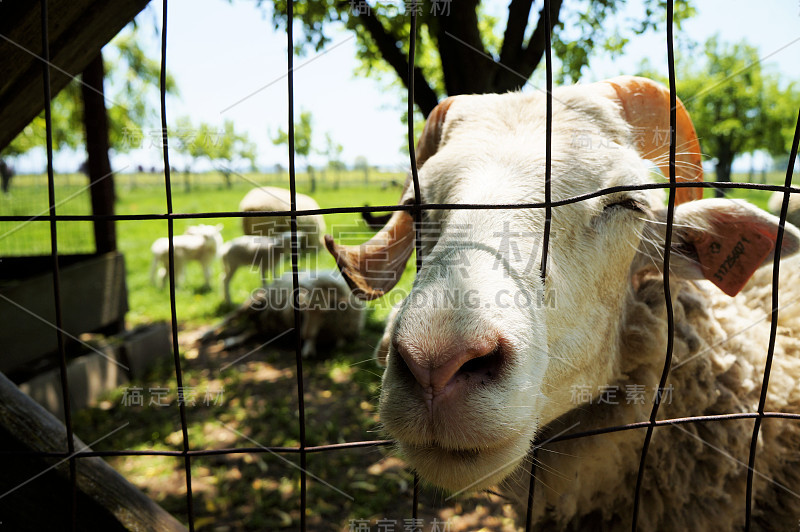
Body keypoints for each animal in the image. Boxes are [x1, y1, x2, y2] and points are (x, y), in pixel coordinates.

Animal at [202, 270, 364, 358]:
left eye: (323, 313)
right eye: (304, 312)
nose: (303, 335)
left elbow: (339, 342)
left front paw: (309, 348)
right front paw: (308, 348)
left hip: (267, 325)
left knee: (251, 331)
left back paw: (232, 341)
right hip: (254, 302)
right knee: (229, 318)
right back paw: (206, 334)